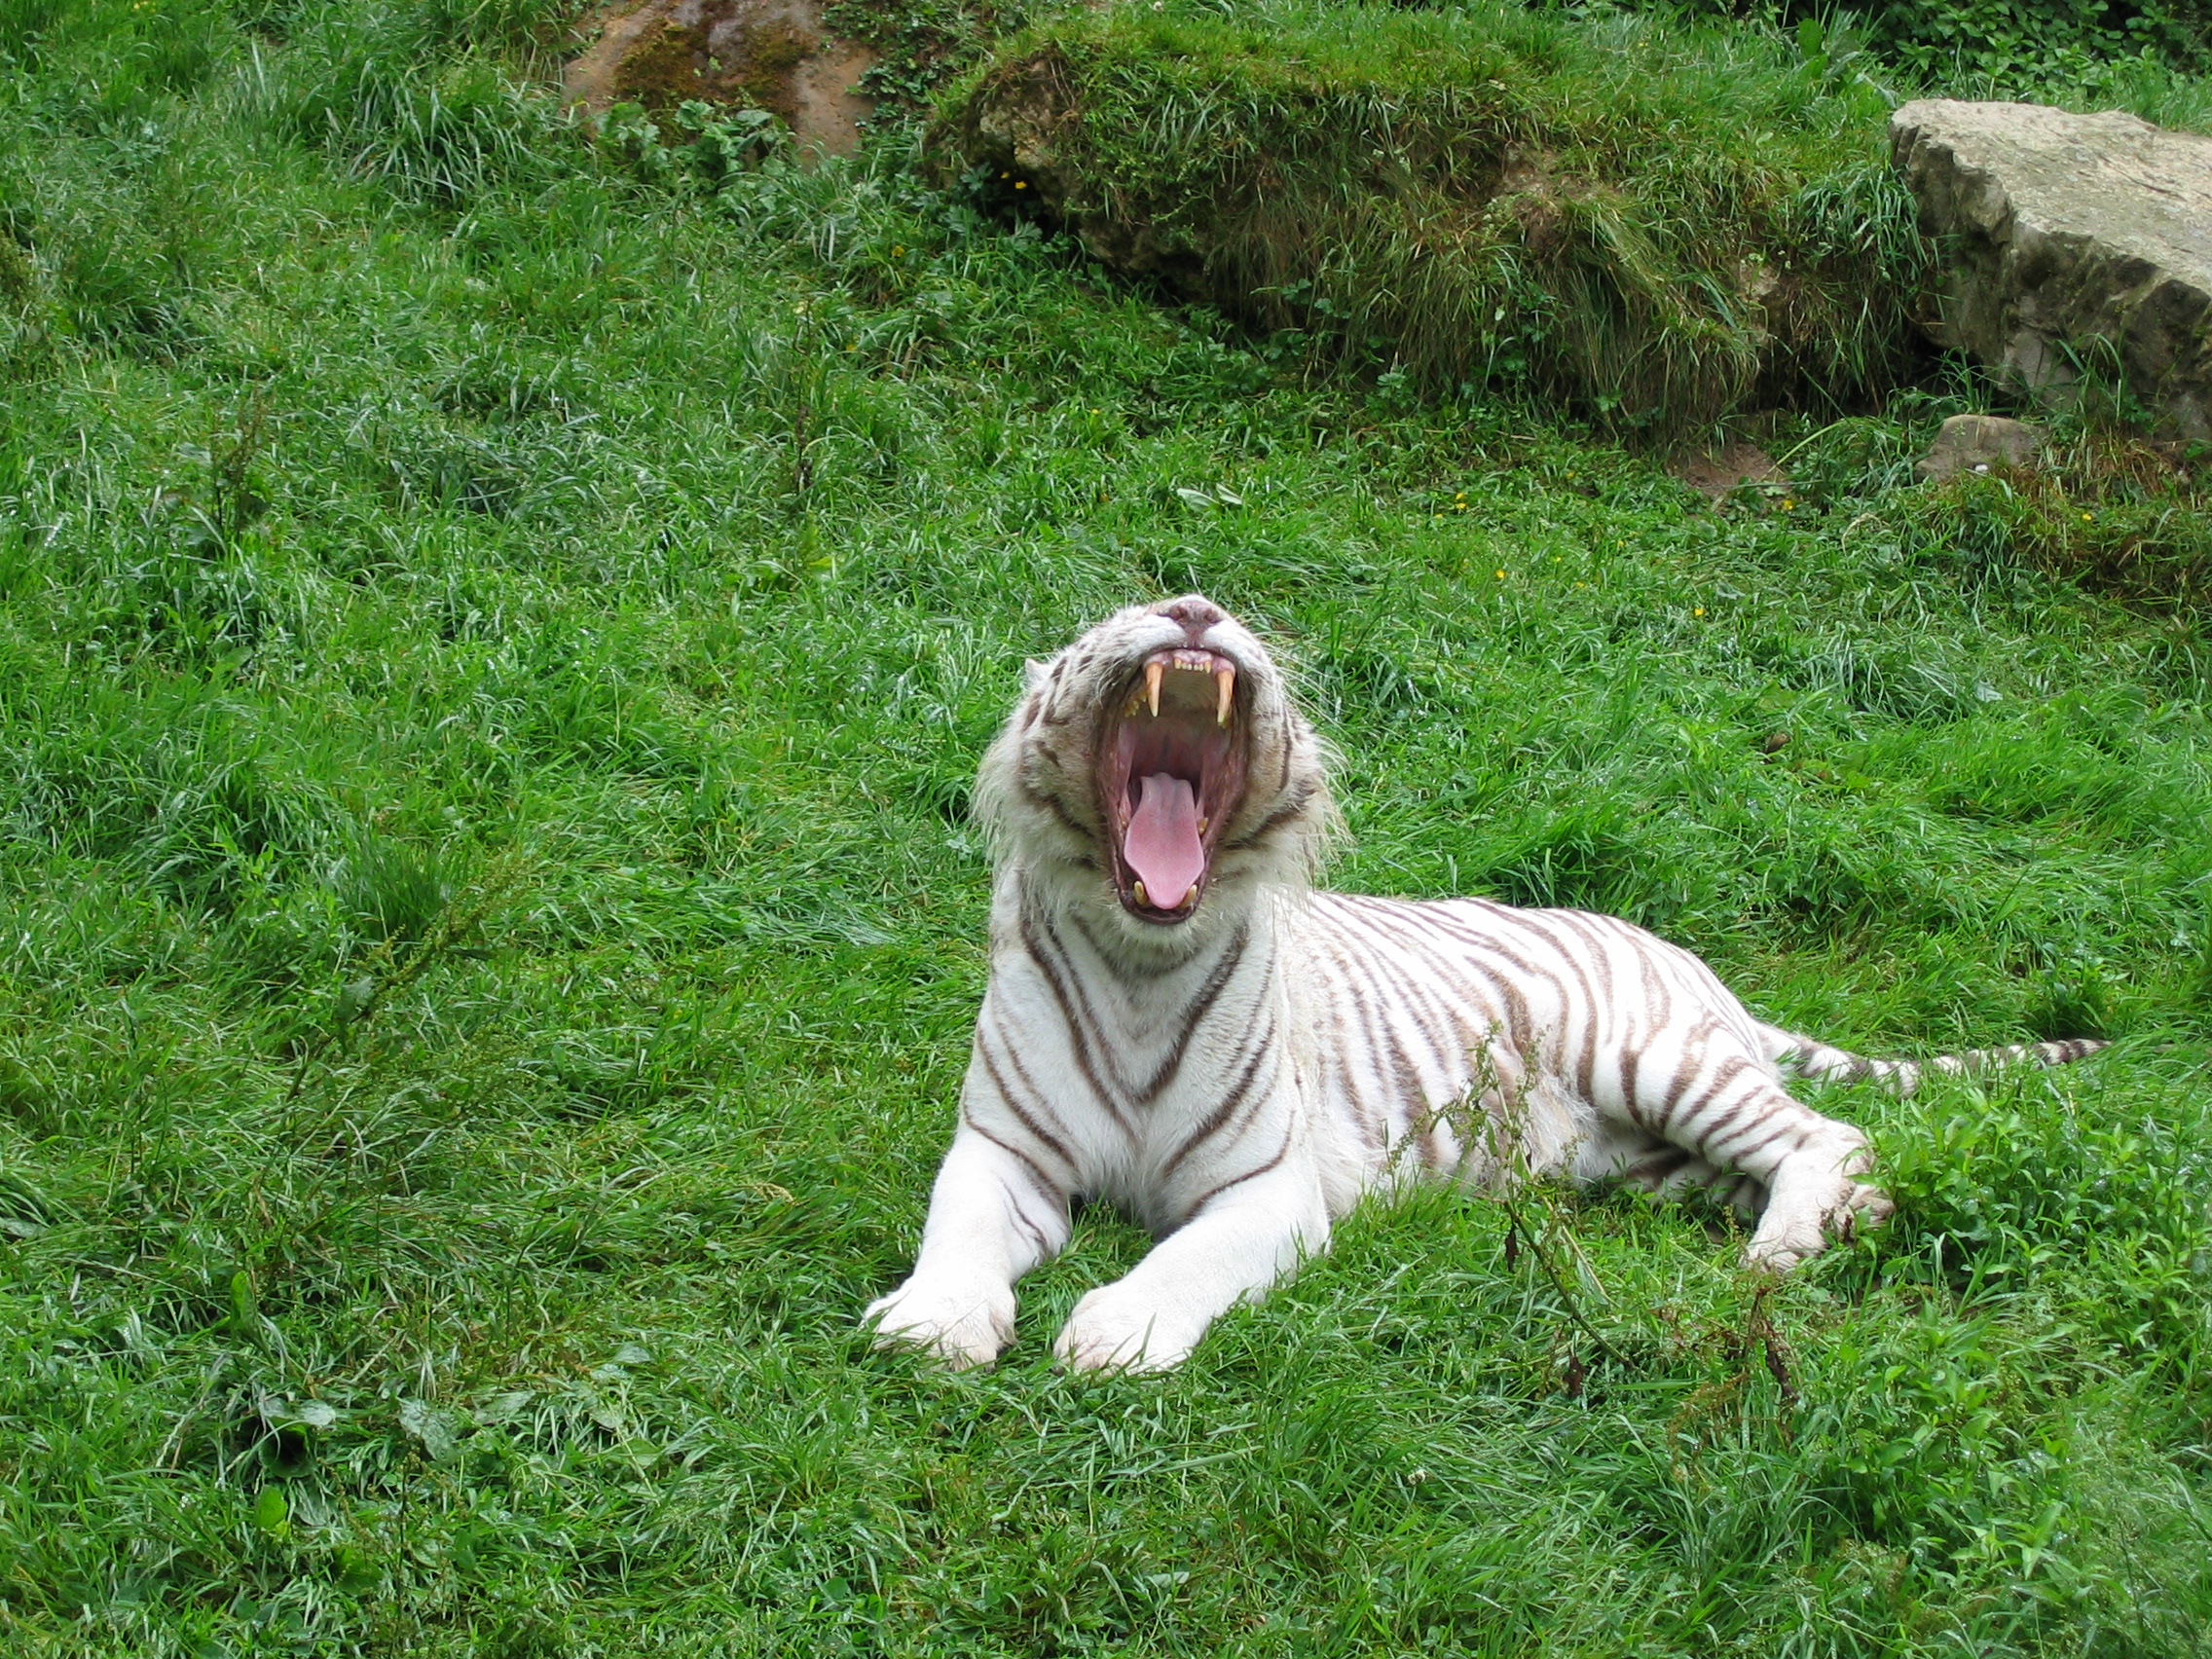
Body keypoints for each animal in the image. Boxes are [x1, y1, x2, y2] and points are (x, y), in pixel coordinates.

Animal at [864, 595, 2106, 1372]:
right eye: (1118, 615)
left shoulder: (1267, 1189)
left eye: (1225, 612)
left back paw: (1788, 1248)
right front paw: (931, 1323)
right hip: (1652, 1164)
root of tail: (1698, 966)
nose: (1197, 611)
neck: (1140, 959)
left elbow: (1186, 1257)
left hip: (1662, 1059)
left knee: (1828, 1135)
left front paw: (1114, 1334)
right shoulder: (1004, 1150)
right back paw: (1843, 1223)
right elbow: (958, 1228)